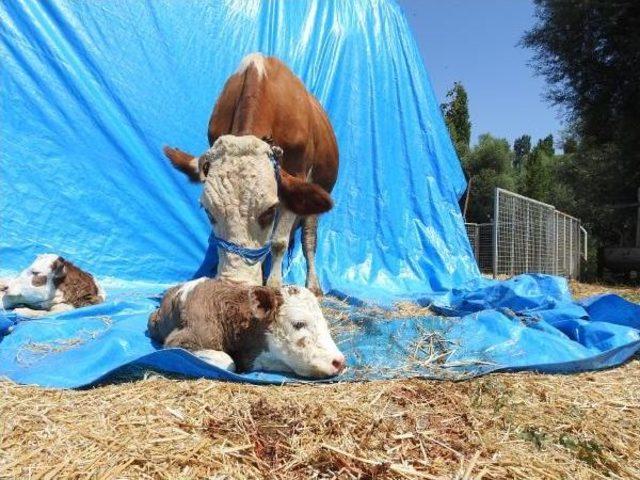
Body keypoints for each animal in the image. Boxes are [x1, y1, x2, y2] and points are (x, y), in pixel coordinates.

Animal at [162, 52, 338, 294]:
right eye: (208, 212)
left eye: (268, 211)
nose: (236, 284)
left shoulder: (298, 176)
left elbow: (279, 242)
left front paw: (274, 286)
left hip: (320, 187)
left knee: (308, 238)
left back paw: (312, 285)